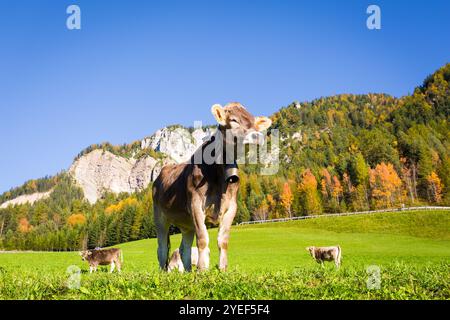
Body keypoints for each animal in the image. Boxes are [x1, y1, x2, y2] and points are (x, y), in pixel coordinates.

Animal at [152, 101, 270, 272]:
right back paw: (163, 272)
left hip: (186, 224)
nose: (257, 136)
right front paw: (202, 269)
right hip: (160, 217)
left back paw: (188, 272)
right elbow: (202, 239)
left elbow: (223, 241)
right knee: (161, 248)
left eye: (254, 122)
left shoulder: (231, 207)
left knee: (184, 248)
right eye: (233, 120)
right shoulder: (195, 205)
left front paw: (222, 269)